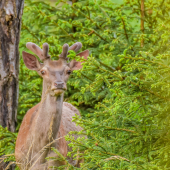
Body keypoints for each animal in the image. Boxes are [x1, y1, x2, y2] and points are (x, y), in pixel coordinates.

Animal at [14, 41, 89, 169]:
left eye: (68, 71)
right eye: (43, 71)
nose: (59, 84)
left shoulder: (58, 162)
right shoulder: (21, 162)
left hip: (81, 157)